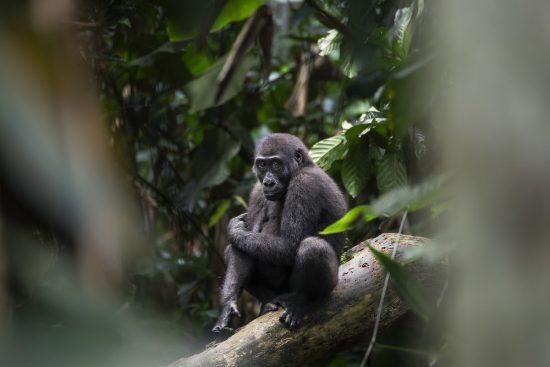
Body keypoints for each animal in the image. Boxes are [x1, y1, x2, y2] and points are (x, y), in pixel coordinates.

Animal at [213, 134, 348, 332]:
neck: (303, 166)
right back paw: (268, 302)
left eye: (276, 164)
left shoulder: (305, 184)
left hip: (331, 286)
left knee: (313, 248)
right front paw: (227, 307)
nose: (268, 182)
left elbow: (290, 245)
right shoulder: (257, 190)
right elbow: (241, 249)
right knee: (232, 250)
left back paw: (300, 301)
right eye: (262, 165)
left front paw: (234, 230)